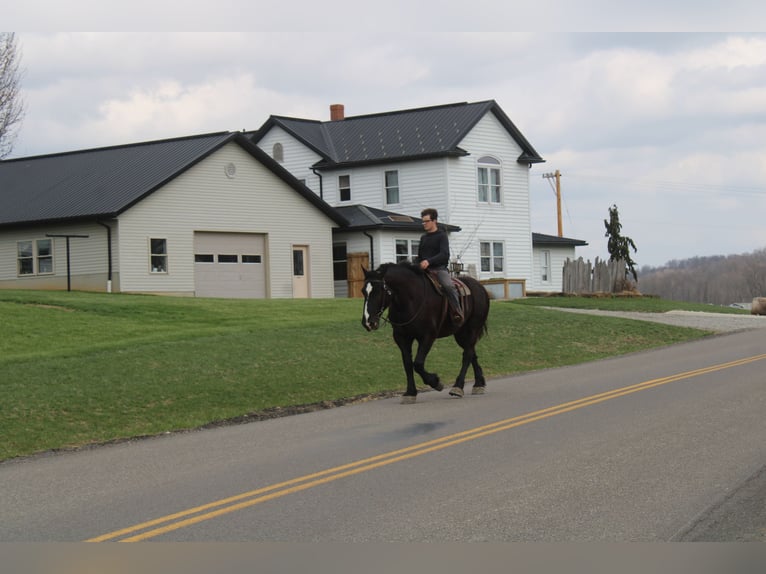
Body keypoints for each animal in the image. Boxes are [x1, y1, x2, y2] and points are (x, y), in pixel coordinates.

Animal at [361, 262, 490, 404]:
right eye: (363, 291)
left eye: (378, 291)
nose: (367, 322)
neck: (410, 300)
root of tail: (480, 287)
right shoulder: (402, 338)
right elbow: (408, 364)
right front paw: (410, 393)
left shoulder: (427, 336)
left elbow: (417, 364)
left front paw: (435, 382)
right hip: (461, 333)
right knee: (471, 352)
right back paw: (478, 384)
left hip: (472, 328)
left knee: (467, 355)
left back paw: (458, 387)